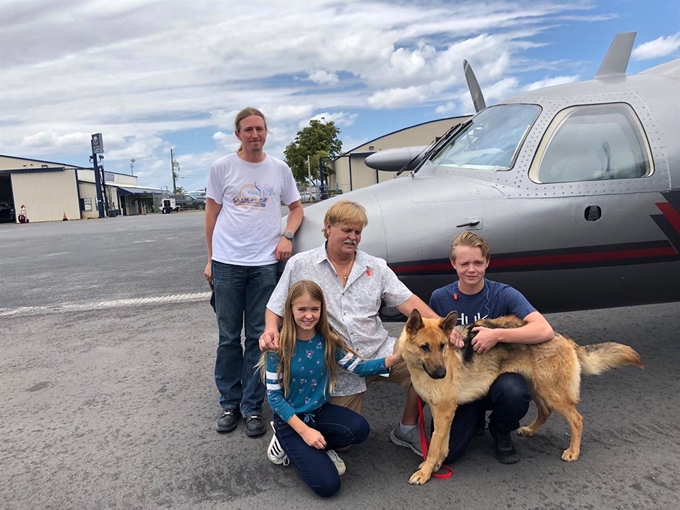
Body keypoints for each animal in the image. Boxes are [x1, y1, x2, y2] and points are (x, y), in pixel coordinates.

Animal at [394, 308, 644, 484]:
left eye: (443, 346)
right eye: (425, 347)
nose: (441, 374)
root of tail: (562, 337)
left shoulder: (444, 411)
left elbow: (435, 445)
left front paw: (427, 471)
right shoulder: (444, 413)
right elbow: (443, 444)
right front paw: (436, 465)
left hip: (552, 393)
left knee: (577, 420)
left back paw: (573, 451)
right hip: (538, 389)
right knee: (545, 411)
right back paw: (531, 430)